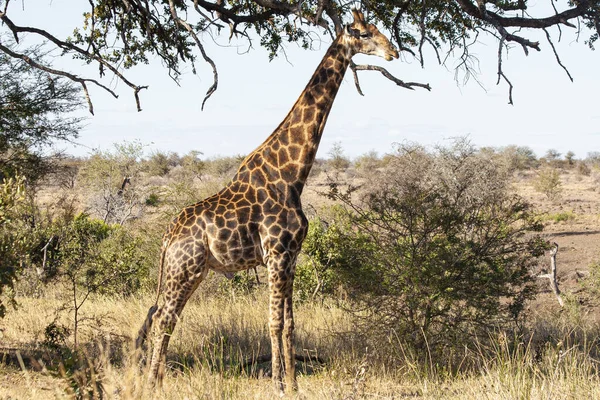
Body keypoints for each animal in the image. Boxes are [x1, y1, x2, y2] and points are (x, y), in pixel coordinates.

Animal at [137, 8, 398, 390]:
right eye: (364, 33)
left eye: (378, 28)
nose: (394, 52)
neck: (292, 175)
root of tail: (167, 237)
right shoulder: (276, 252)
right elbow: (273, 322)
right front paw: (277, 383)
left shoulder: (291, 256)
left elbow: (289, 324)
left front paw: (293, 383)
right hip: (182, 268)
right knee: (164, 318)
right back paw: (151, 383)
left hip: (193, 271)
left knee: (165, 318)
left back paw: (156, 381)